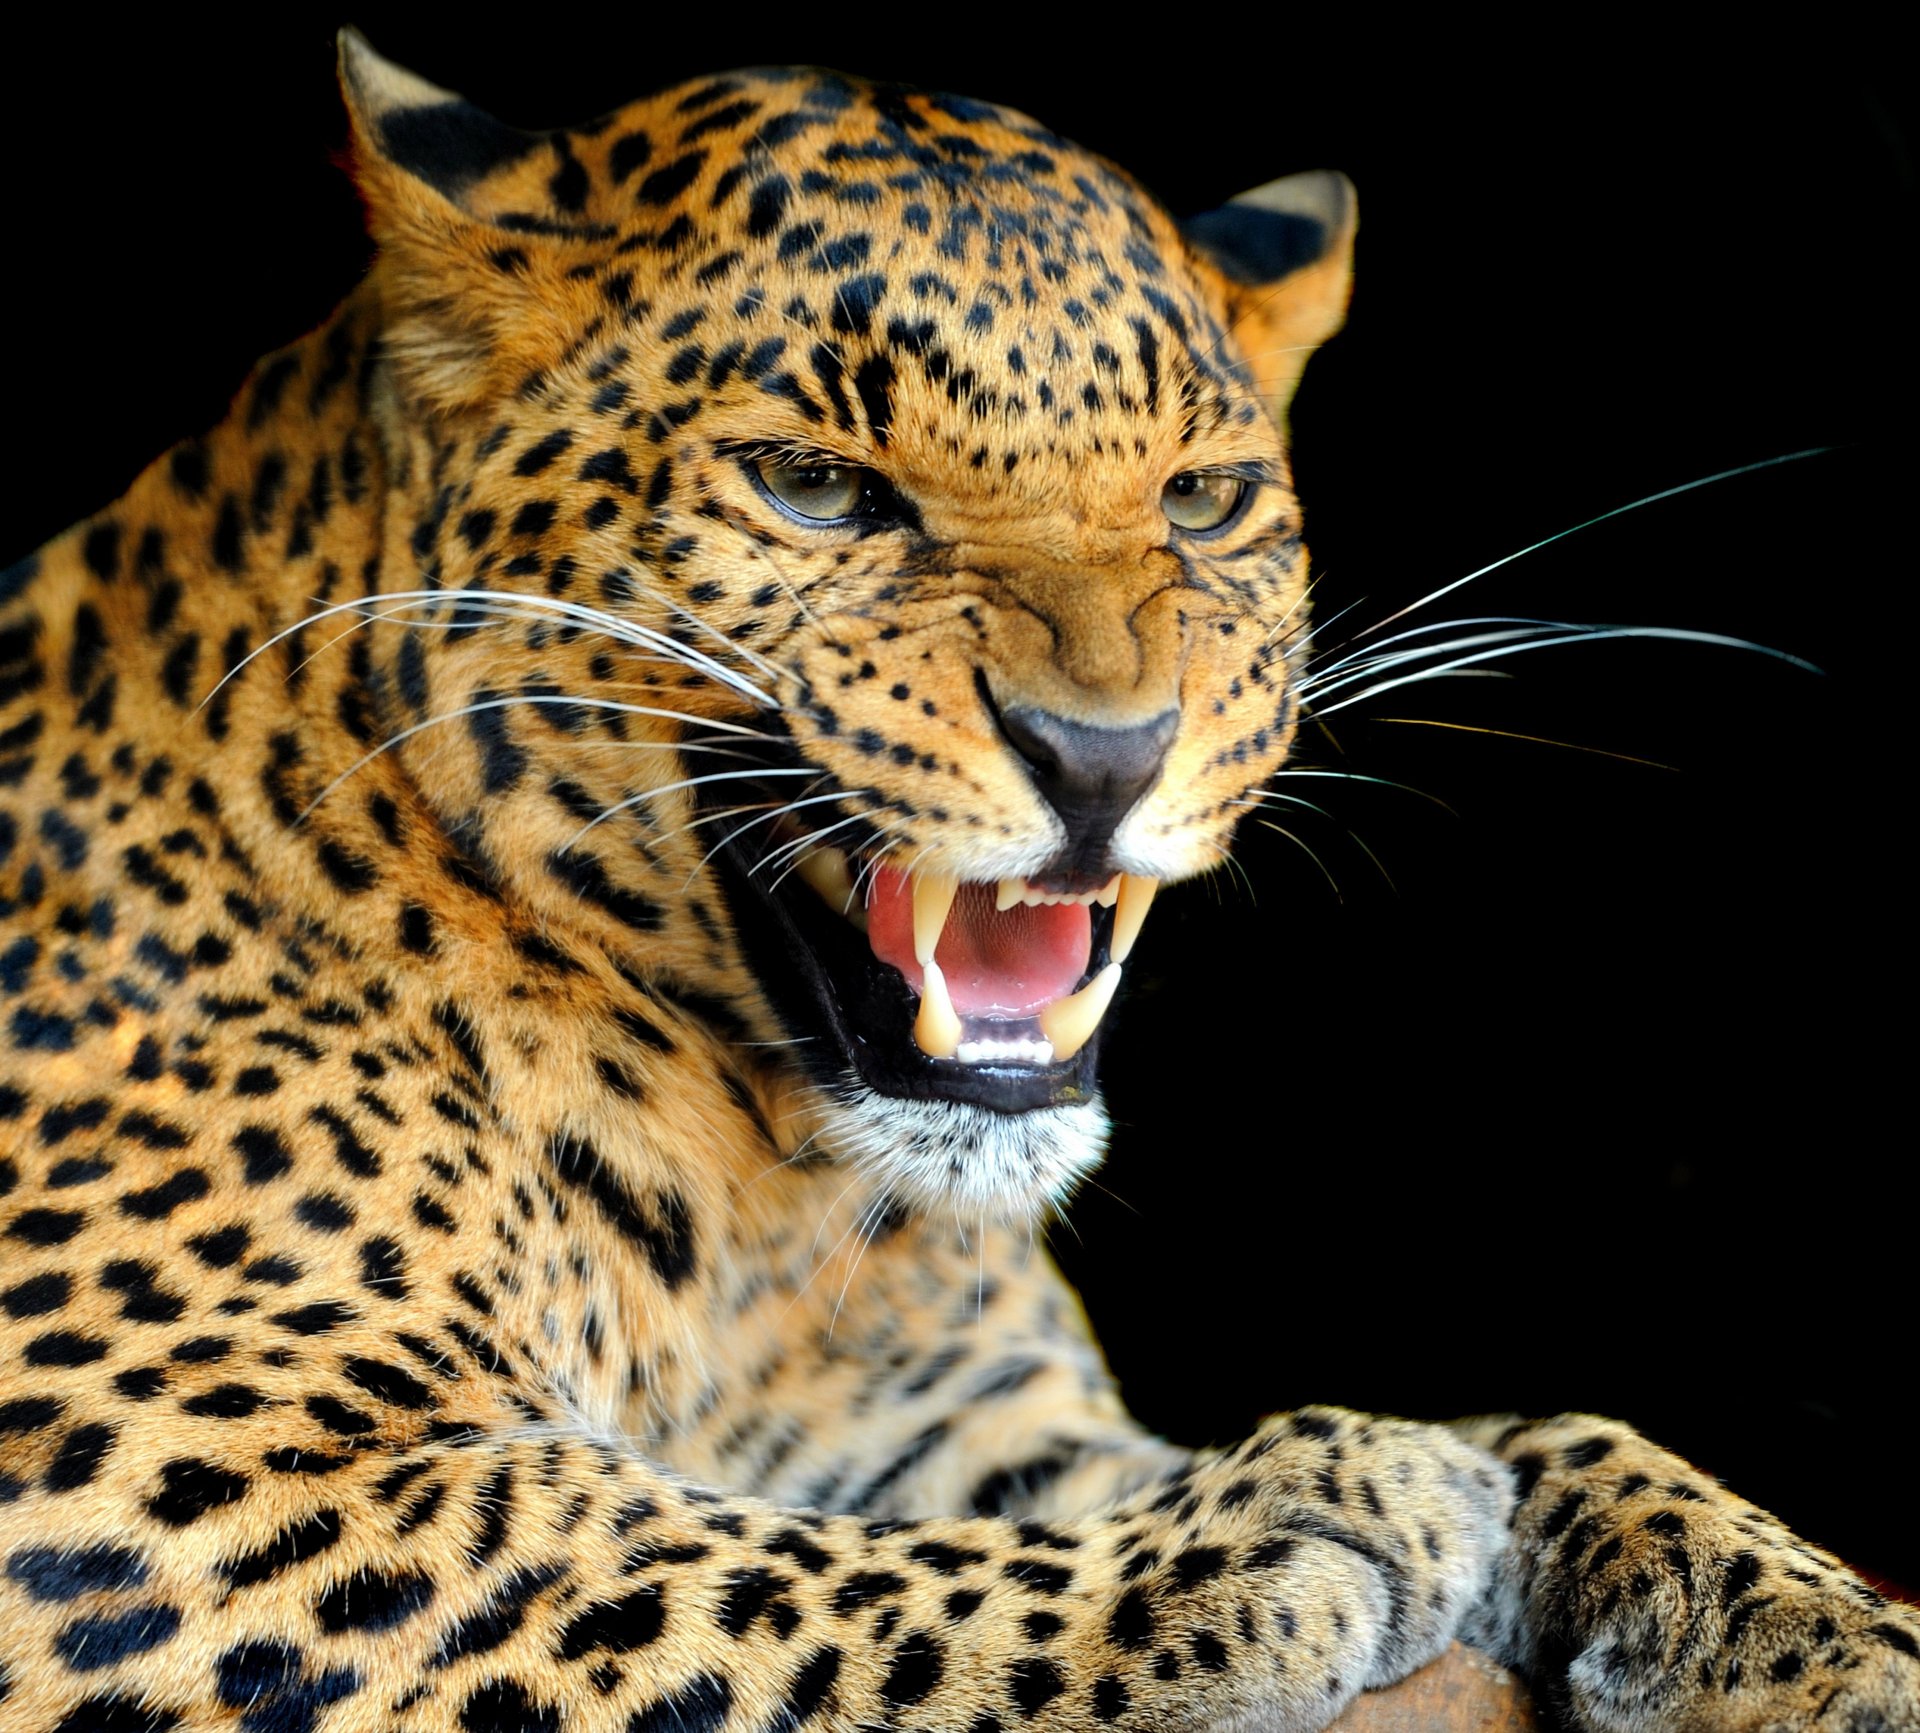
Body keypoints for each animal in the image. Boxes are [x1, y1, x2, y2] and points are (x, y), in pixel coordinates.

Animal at [0, 29, 1912, 1733]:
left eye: (1204, 501)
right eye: (815, 487)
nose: (1104, 755)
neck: (761, 1219)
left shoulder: (958, 1417)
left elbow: (1550, 1427)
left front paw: (1803, 1615)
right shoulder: (153, 1451)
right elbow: (696, 1565)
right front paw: (1287, 1518)